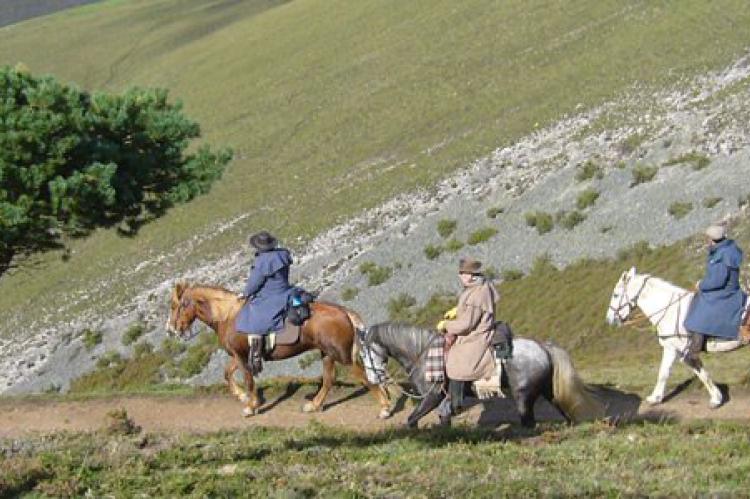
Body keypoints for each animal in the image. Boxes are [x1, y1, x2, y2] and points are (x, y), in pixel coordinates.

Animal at [164, 282, 388, 418]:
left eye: (176, 305)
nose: (171, 329)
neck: (229, 315)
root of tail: (343, 312)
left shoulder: (242, 356)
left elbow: (248, 380)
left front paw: (251, 405)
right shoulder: (238, 355)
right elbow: (227, 374)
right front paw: (242, 396)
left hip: (342, 356)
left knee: (364, 377)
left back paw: (385, 407)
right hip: (327, 354)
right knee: (329, 379)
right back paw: (314, 405)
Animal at [358, 324, 604, 430]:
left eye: (364, 352)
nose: (374, 379)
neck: (424, 354)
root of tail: (543, 347)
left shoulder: (433, 397)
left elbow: (411, 420)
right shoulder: (444, 401)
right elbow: (443, 420)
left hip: (523, 396)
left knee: (528, 422)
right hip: (547, 391)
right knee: (563, 410)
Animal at [608, 268, 748, 408]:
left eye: (615, 295)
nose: (609, 319)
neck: (671, 311)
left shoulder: (681, 351)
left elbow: (696, 374)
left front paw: (716, 399)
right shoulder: (674, 349)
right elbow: (667, 372)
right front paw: (655, 398)